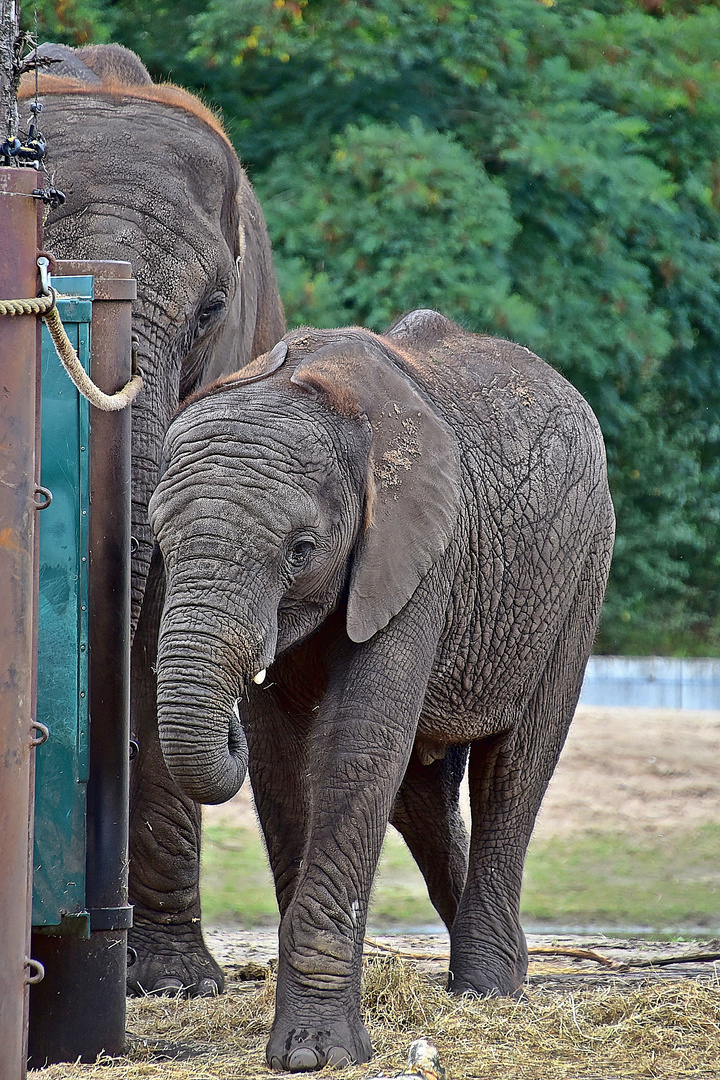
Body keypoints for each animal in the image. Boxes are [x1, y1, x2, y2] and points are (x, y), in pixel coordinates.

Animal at [148, 308, 617, 1067]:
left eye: (301, 549)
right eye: (159, 540)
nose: (228, 726)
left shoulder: (421, 552)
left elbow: (355, 747)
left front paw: (315, 1055)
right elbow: (283, 767)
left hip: (581, 570)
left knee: (515, 768)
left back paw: (489, 990)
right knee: (421, 799)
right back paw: (493, 968)